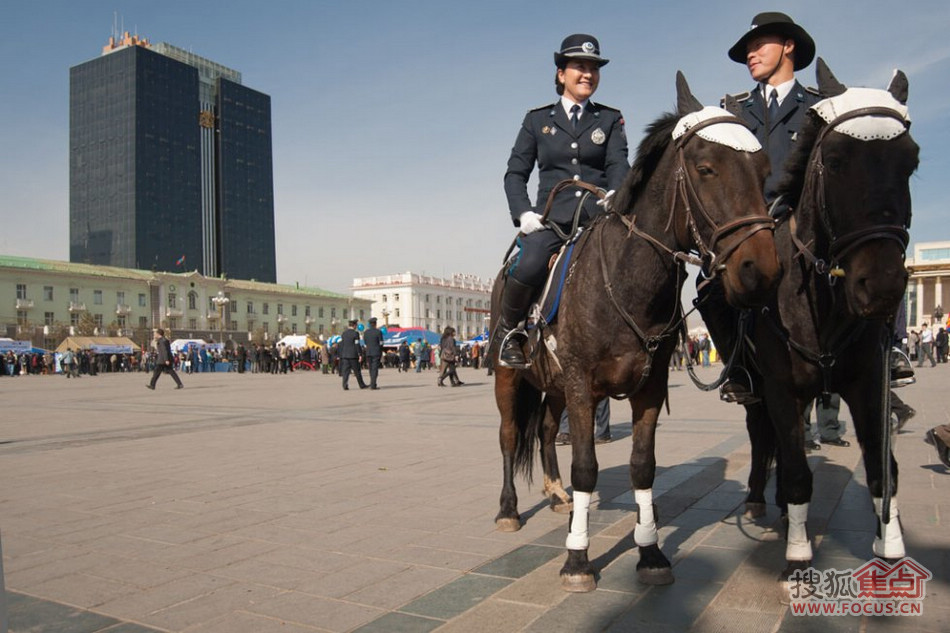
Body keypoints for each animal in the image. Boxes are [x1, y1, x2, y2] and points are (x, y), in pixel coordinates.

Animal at [490, 74, 780, 592]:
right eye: (706, 168)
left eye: (763, 169)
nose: (761, 270)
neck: (624, 279)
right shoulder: (582, 383)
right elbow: (586, 467)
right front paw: (577, 558)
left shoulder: (648, 386)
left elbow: (642, 467)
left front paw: (650, 551)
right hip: (509, 375)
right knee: (508, 435)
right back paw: (509, 510)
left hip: (554, 385)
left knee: (545, 430)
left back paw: (557, 494)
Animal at [720, 60, 924, 576]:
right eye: (833, 160)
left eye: (911, 161)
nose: (883, 285)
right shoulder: (780, 390)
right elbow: (795, 470)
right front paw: (798, 553)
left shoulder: (869, 383)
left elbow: (882, 468)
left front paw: (890, 543)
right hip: (754, 388)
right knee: (761, 437)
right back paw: (758, 497)